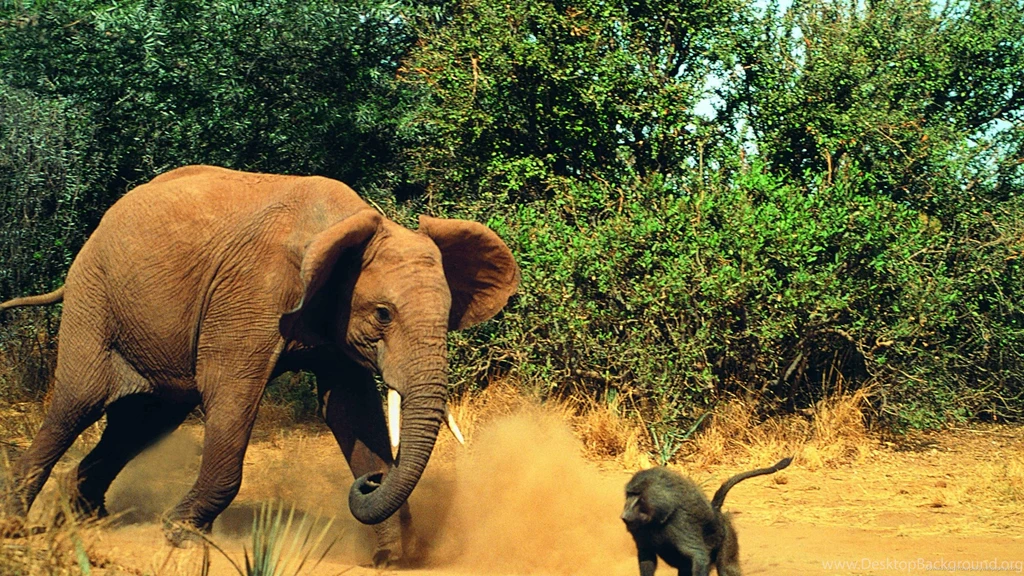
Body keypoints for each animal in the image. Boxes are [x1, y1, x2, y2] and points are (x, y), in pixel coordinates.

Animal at [0, 165, 519, 564]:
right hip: (95, 298)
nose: (373, 481)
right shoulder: (251, 295)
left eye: (448, 316)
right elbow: (231, 392)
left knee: (143, 422)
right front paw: (180, 533)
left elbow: (350, 410)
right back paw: (18, 522)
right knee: (76, 404)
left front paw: (390, 557)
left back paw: (86, 519)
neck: (341, 225)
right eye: (383, 314)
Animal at [621, 457, 792, 576]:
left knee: (726, 568)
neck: (658, 520)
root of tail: (715, 510)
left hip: (727, 536)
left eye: (636, 495)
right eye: (629, 494)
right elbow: (646, 556)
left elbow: (699, 557)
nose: (624, 515)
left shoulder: (680, 523)